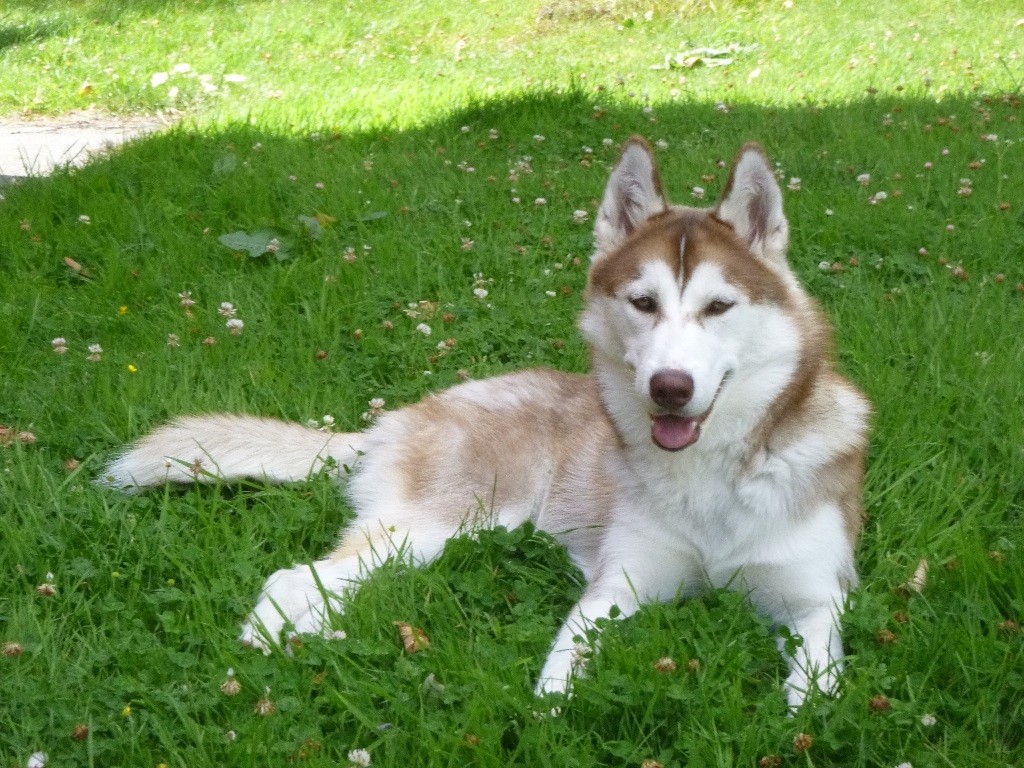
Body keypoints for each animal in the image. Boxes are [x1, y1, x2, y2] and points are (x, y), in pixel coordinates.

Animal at [101, 138, 872, 708]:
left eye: (718, 307)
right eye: (643, 302)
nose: (670, 388)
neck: (713, 474)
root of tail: (405, 412)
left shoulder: (816, 601)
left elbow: (816, 689)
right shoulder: (616, 587)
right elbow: (561, 671)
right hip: (431, 525)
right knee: (296, 576)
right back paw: (271, 643)